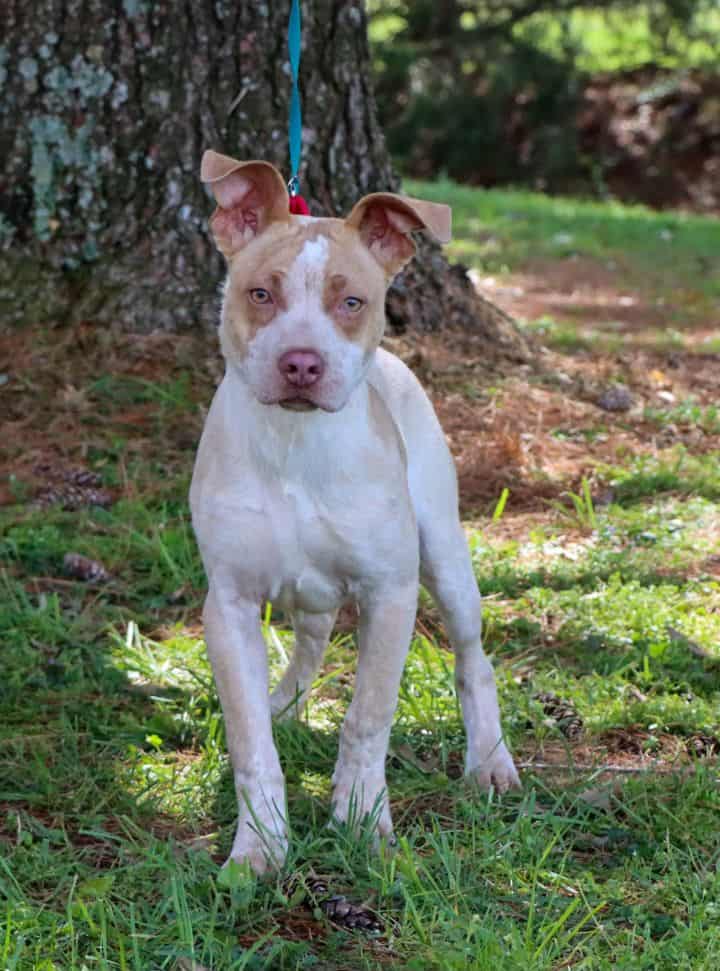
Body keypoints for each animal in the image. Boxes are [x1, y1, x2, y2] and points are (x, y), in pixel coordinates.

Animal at [190, 150, 516, 872]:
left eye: (351, 302)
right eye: (261, 294)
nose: (301, 364)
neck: (295, 444)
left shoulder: (390, 592)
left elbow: (368, 717)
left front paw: (363, 821)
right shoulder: (228, 604)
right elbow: (250, 741)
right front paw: (260, 847)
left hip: (446, 558)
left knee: (473, 659)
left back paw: (489, 761)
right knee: (310, 641)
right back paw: (286, 704)